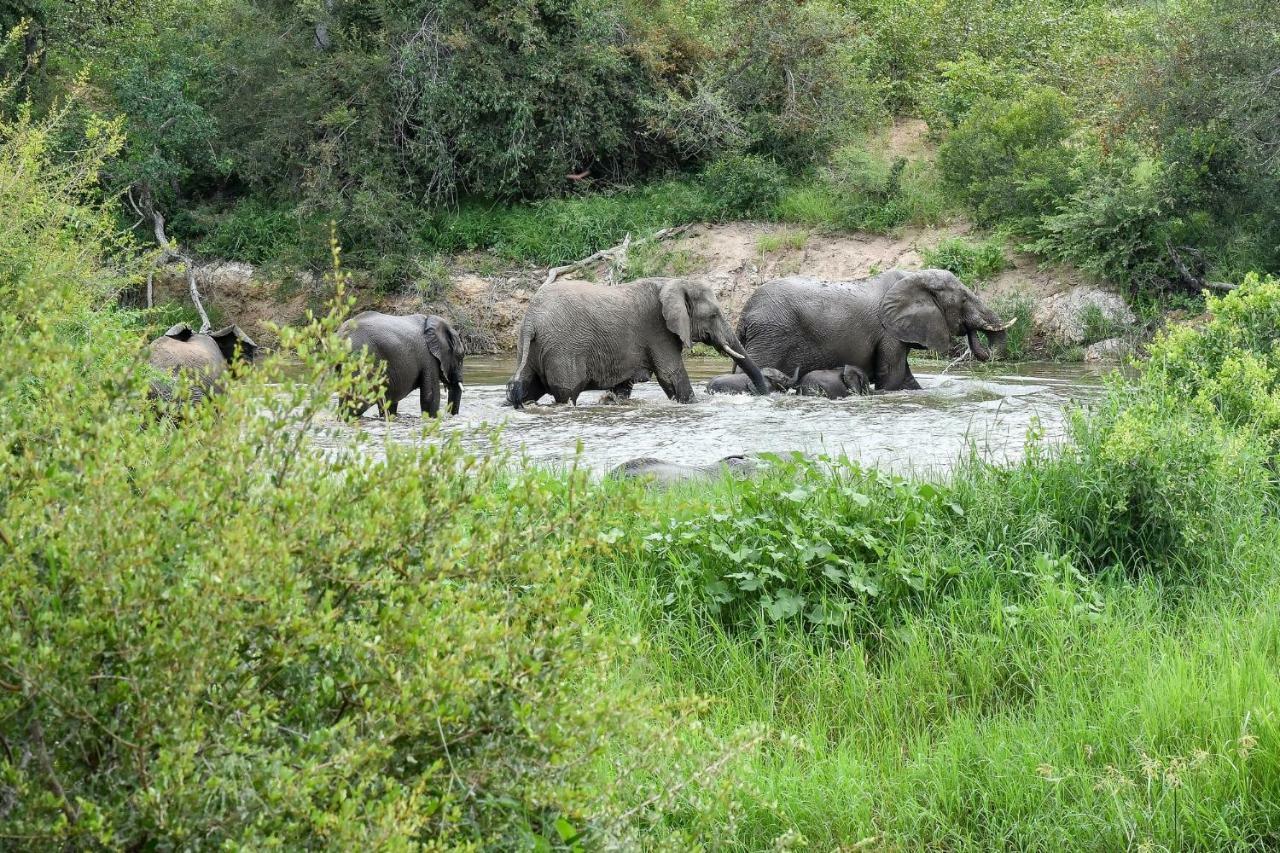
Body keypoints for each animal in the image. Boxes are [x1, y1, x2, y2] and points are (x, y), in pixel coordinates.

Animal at [509, 274, 768, 404]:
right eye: (714, 315)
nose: (764, 394)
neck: (673, 281)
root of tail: (531, 319)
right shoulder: (658, 330)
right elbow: (671, 375)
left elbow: (623, 387)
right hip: (563, 349)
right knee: (566, 393)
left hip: (532, 347)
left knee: (527, 389)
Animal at [737, 268, 1013, 391]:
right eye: (964, 300)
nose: (970, 332)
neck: (912, 277)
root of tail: (744, 315)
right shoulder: (888, 332)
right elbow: (892, 378)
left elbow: (905, 379)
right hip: (772, 336)